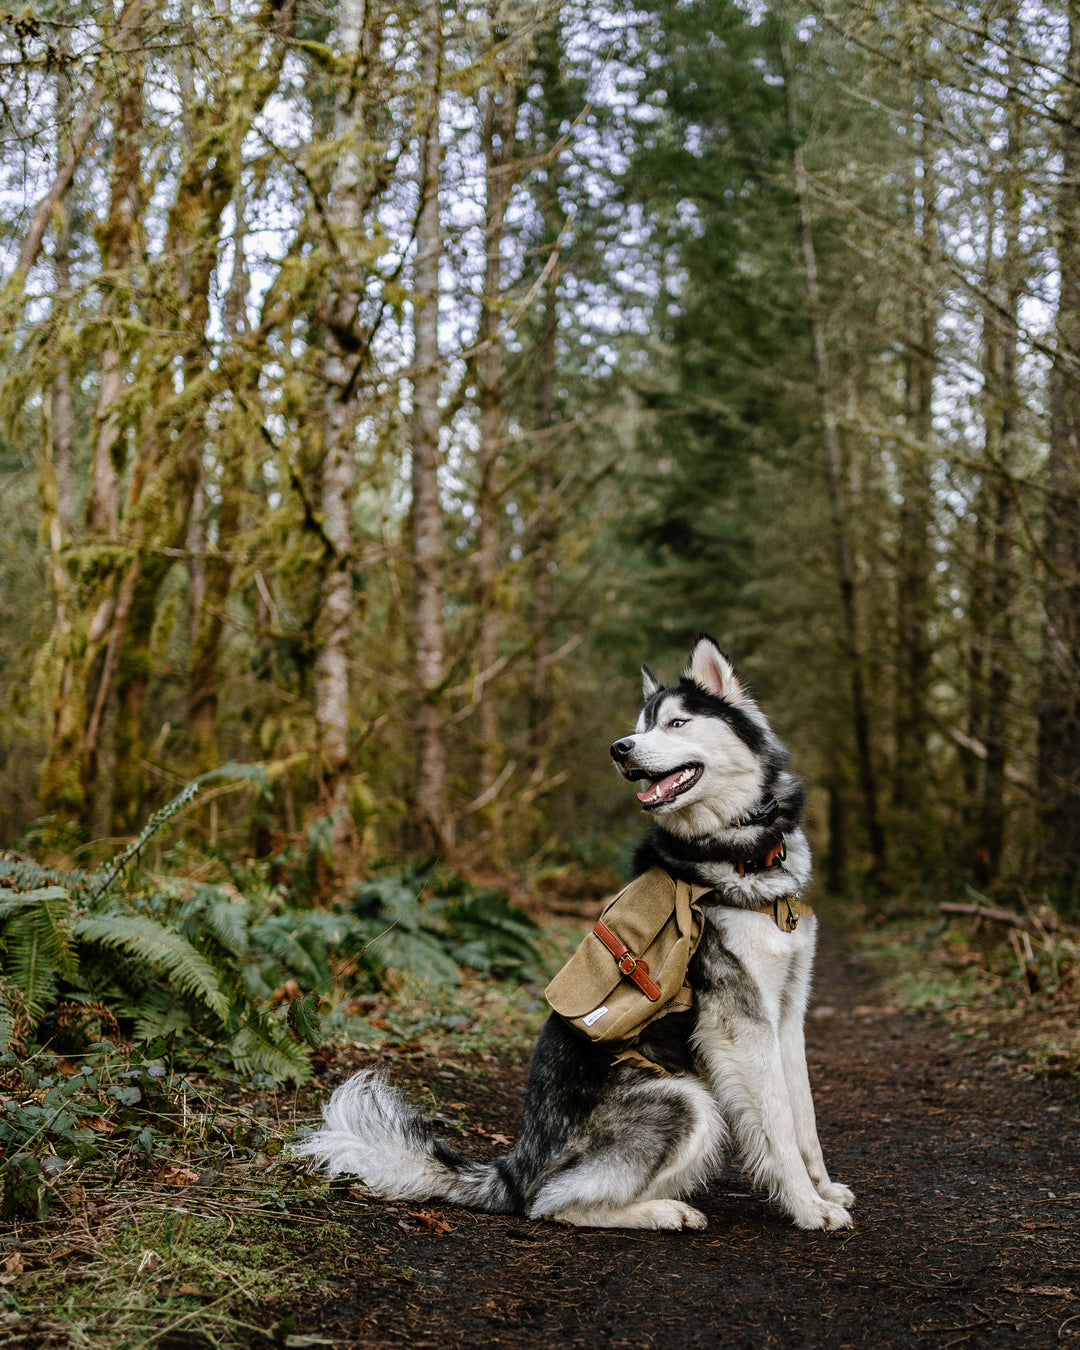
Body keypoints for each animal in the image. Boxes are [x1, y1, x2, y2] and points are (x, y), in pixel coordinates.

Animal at [295, 637, 853, 1231]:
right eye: (638, 726)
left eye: (676, 723)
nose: (620, 749)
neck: (744, 857)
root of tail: (513, 1168)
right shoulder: (742, 1023)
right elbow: (778, 1125)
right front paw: (806, 1207)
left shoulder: (786, 1013)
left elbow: (803, 1118)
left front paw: (823, 1190)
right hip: (685, 1100)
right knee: (554, 1203)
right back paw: (661, 1211)